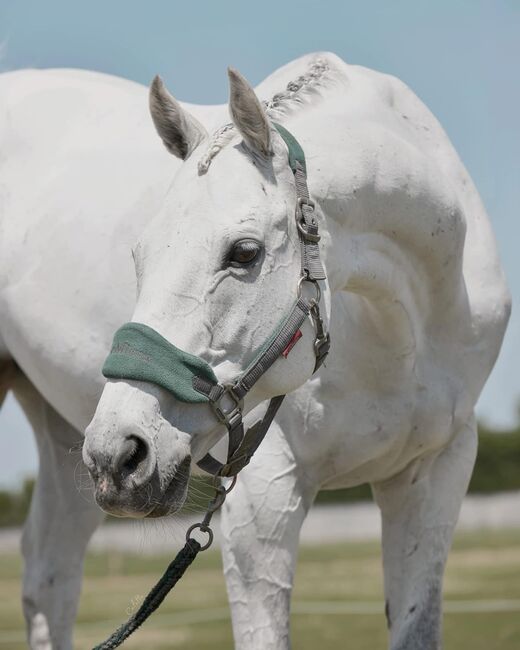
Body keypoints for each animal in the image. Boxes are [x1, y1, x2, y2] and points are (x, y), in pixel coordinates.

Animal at [0, 52, 510, 648]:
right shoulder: (265, 497)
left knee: (50, 573)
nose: (120, 453)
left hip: (63, 432)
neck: (399, 329)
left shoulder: (433, 474)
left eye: (244, 251)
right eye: (139, 254)